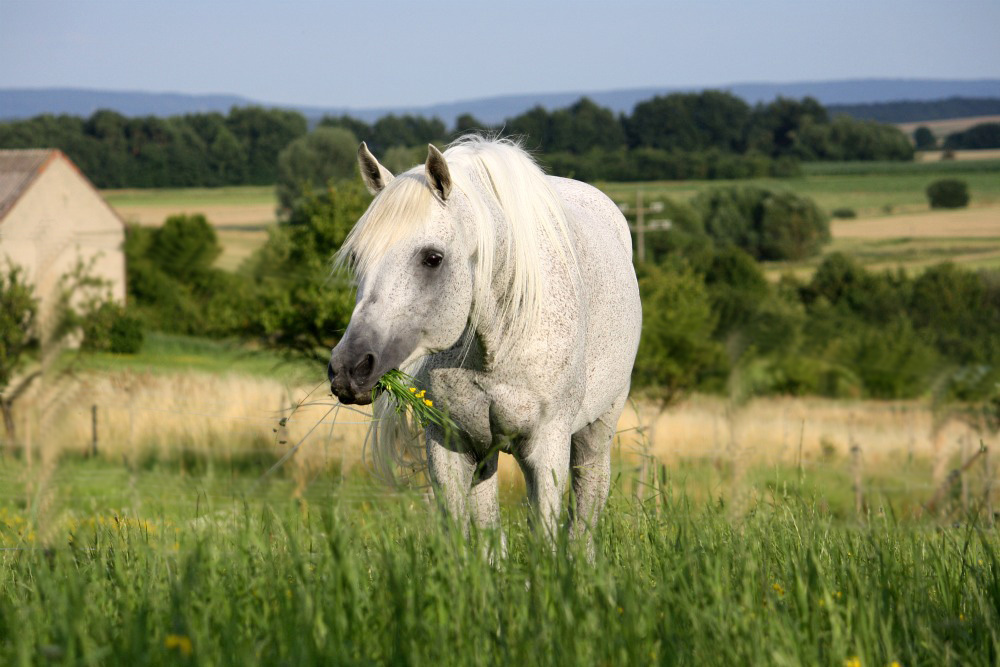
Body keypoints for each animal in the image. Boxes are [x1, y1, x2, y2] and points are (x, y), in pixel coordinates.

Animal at [328, 138, 640, 552]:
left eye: (432, 258)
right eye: (357, 258)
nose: (349, 368)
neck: (497, 344)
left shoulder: (547, 446)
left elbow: (545, 536)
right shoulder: (451, 443)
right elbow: (467, 536)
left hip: (597, 430)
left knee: (587, 507)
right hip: (486, 452)